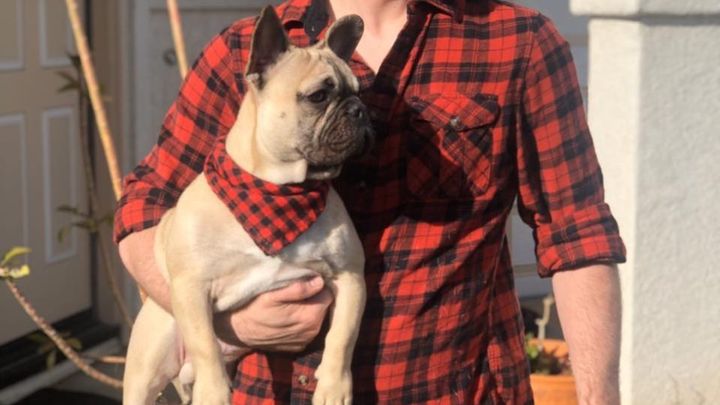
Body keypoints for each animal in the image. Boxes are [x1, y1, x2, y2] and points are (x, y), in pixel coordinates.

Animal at [122, 7, 371, 405]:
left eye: (360, 93)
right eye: (318, 96)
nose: (358, 110)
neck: (279, 189)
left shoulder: (349, 276)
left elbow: (343, 336)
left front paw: (333, 387)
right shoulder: (191, 288)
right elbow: (205, 344)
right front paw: (214, 391)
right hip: (151, 356)